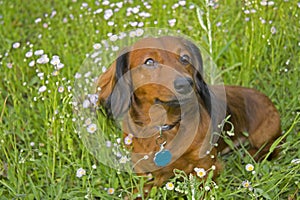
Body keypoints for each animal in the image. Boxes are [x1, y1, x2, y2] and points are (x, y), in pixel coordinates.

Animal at [96, 36, 282, 194]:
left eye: (185, 58)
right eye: (149, 61)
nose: (185, 83)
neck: (165, 127)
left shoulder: (206, 166)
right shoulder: (144, 172)